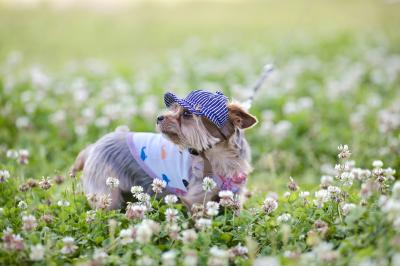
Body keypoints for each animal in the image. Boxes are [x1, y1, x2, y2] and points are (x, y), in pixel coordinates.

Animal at [72, 90, 258, 210]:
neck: (219, 156)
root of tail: (93, 147)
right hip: (107, 192)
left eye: (186, 114)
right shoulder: (196, 197)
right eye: (173, 109)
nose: (159, 117)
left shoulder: (234, 195)